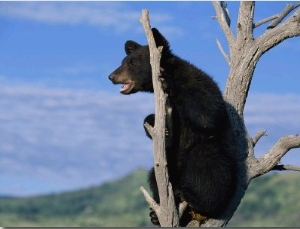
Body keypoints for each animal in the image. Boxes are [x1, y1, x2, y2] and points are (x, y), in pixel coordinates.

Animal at [108, 27, 237, 226]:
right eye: (123, 61)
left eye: (132, 62)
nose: (112, 76)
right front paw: (154, 124)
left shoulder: (198, 82)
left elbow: (208, 113)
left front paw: (167, 82)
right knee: (154, 175)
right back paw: (157, 213)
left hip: (222, 168)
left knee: (207, 161)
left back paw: (193, 197)